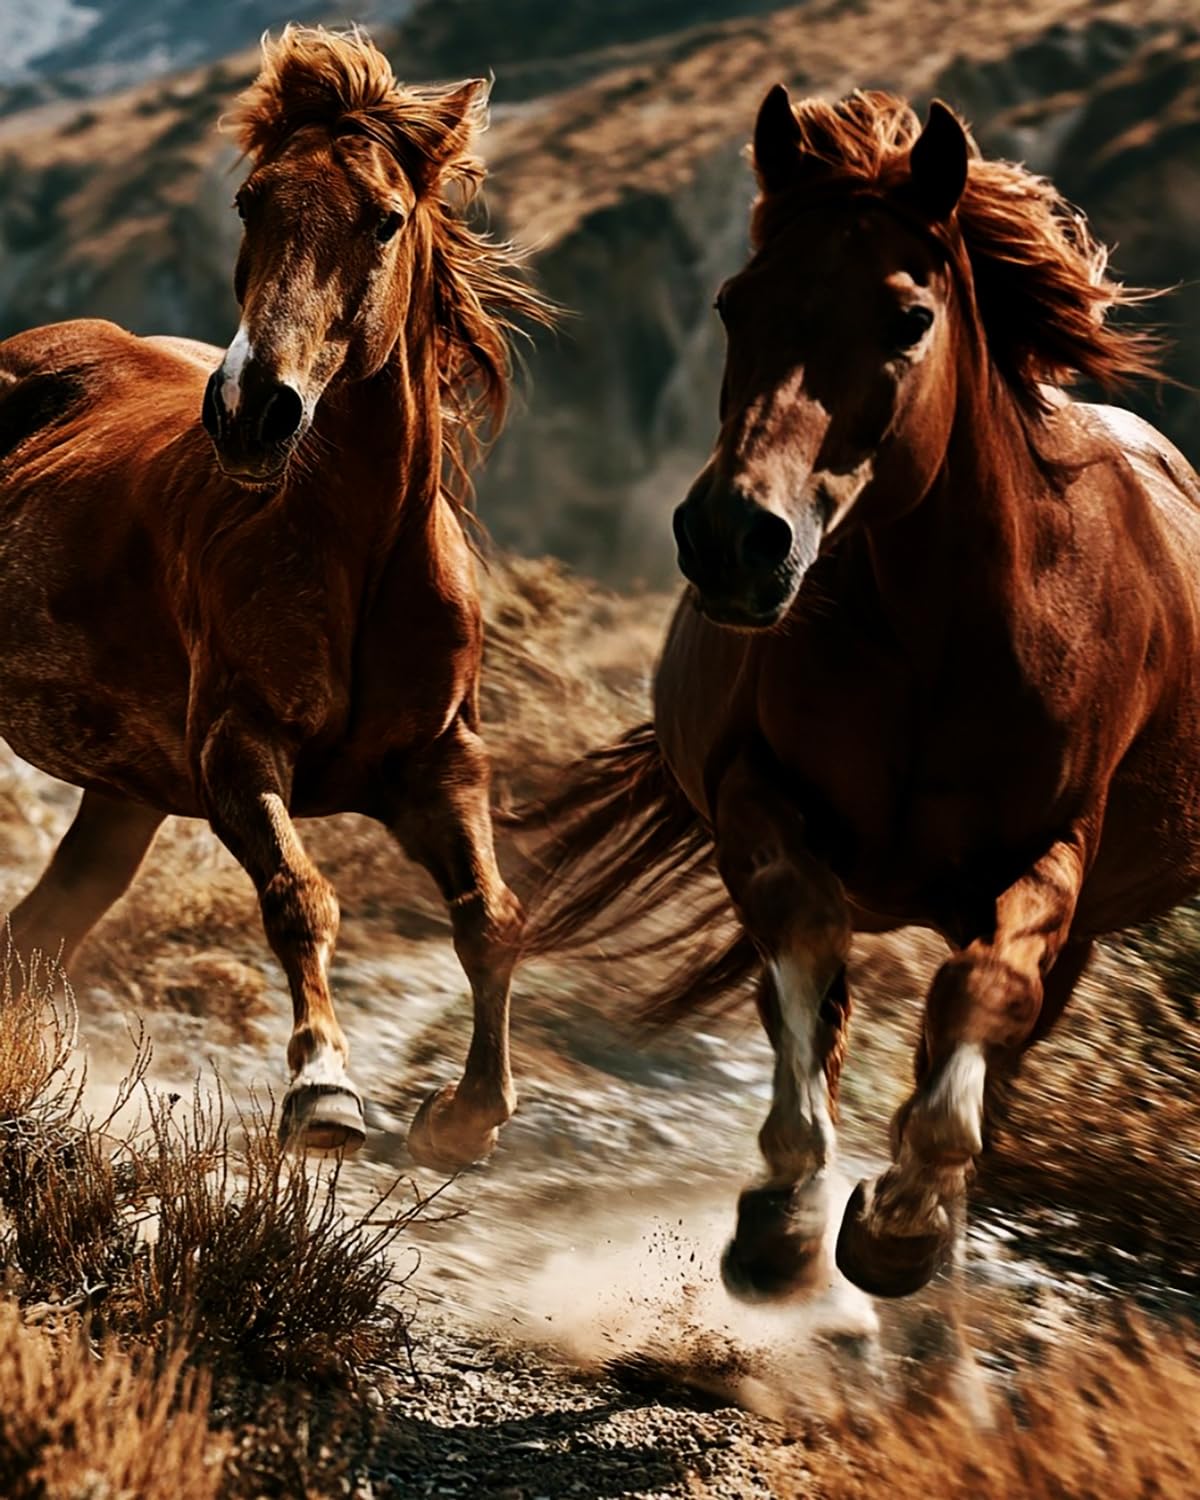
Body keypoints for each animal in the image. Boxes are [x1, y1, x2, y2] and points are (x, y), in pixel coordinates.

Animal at [0, 26, 550, 1167]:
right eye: (251, 201)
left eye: (385, 219)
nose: (253, 411)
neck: (361, 557)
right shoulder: (237, 749)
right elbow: (302, 896)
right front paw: (324, 1089)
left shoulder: (442, 765)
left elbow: (492, 915)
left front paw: (466, 1112)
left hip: (120, 797)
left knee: (36, 933)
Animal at [520, 86, 1200, 1300]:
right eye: (734, 303)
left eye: (906, 318)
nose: (735, 538)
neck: (945, 637)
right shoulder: (755, 800)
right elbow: (807, 952)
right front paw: (788, 1213)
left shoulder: (1054, 851)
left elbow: (982, 998)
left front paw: (897, 1228)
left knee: (994, 1034)